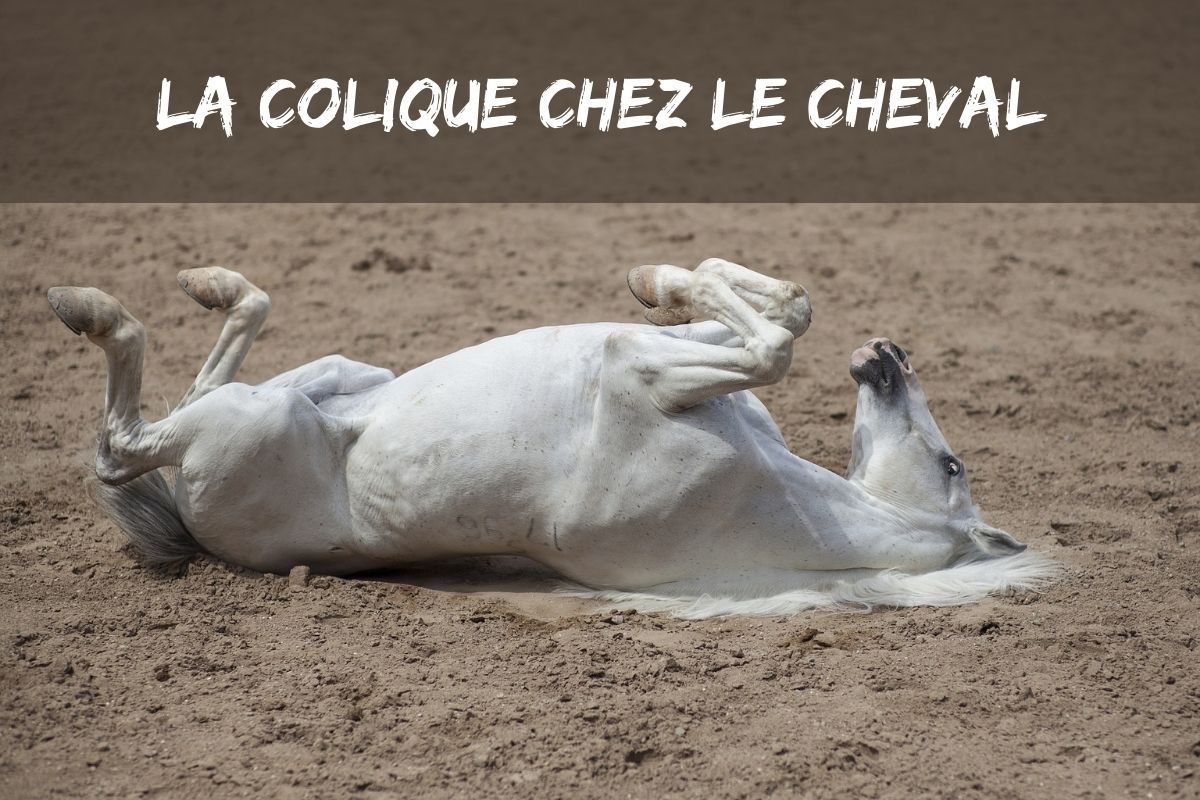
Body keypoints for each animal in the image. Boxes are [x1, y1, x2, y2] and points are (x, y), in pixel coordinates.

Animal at [46, 259, 1055, 617]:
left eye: (953, 462)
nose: (889, 356)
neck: (790, 502)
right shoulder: (669, 359)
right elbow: (777, 315)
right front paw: (662, 278)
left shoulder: (643, 374)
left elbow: (772, 344)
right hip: (328, 379)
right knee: (217, 357)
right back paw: (207, 282)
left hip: (251, 422)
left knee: (123, 444)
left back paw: (88, 305)